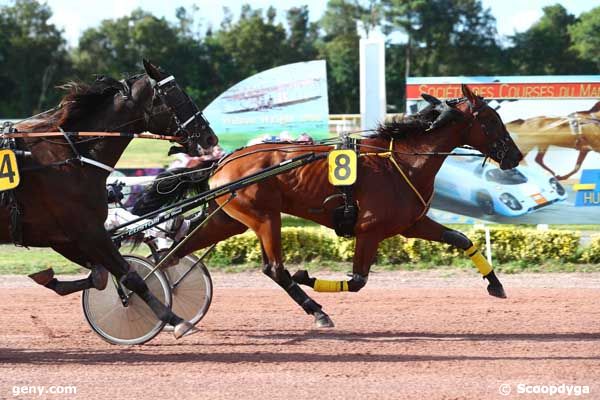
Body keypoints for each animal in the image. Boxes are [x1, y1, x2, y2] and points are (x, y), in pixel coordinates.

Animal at [1, 59, 218, 338]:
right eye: (175, 94)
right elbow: (130, 276)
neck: (72, 156)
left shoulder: (63, 235)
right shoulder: (86, 230)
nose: (210, 137)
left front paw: (51, 278)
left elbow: (101, 276)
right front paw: (174, 319)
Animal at [138, 84, 524, 328]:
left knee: (176, 251)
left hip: (229, 219)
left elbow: (462, 239)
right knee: (275, 269)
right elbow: (357, 281)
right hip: (264, 217)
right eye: (491, 121)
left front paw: (495, 284)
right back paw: (317, 310)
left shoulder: (411, 224)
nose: (515, 156)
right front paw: (306, 276)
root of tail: (222, 162)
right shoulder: (370, 230)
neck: (401, 159)